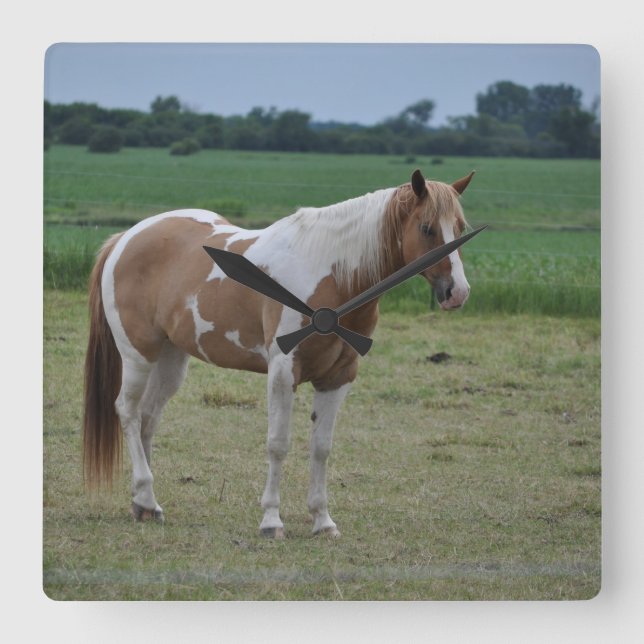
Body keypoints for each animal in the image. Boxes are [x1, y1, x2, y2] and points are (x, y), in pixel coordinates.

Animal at [83, 168, 474, 538]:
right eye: (426, 228)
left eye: (460, 227)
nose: (457, 292)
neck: (332, 276)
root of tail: (125, 239)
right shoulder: (284, 371)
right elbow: (278, 444)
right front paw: (272, 520)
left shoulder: (339, 376)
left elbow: (321, 447)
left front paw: (322, 521)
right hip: (138, 354)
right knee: (129, 412)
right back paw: (145, 493)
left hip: (171, 358)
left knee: (148, 419)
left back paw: (145, 504)